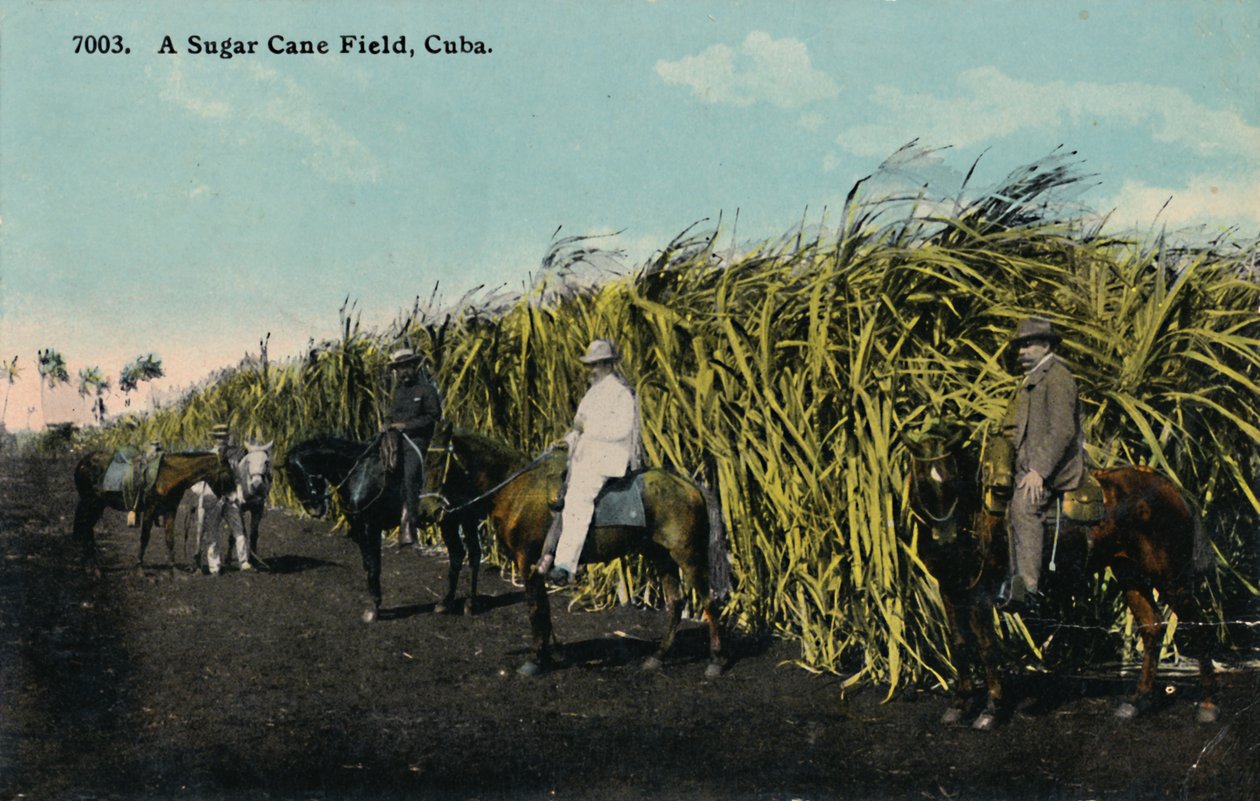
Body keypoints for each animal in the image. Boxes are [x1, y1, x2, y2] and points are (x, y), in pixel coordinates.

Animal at [74, 450, 238, 576]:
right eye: (227, 473)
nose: (235, 498)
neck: (167, 475)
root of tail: (83, 463)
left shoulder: (170, 510)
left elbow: (170, 538)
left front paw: (174, 570)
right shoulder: (150, 509)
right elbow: (145, 538)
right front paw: (140, 569)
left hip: (96, 506)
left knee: (87, 529)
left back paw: (90, 567)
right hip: (92, 504)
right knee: (86, 529)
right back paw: (94, 568)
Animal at [189, 440, 273, 571]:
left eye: (266, 462)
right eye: (248, 461)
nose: (257, 485)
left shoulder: (258, 508)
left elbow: (252, 534)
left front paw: (253, 561)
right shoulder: (239, 508)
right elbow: (236, 534)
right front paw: (229, 560)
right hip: (203, 505)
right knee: (200, 531)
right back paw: (197, 563)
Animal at [413, 423, 730, 680]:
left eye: (437, 461)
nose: (425, 512)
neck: (518, 490)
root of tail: (689, 485)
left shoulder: (527, 562)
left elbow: (535, 609)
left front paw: (535, 660)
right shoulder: (536, 566)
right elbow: (544, 609)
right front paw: (552, 653)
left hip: (689, 557)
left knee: (708, 602)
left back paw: (716, 661)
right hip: (662, 557)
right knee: (676, 603)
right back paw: (658, 657)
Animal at [907, 428, 1219, 730]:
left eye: (953, 481)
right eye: (923, 482)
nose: (945, 541)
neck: (973, 515)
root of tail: (1172, 489)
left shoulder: (980, 593)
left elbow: (986, 647)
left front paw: (991, 710)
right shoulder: (950, 589)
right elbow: (959, 643)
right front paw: (959, 706)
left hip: (1171, 579)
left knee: (1201, 626)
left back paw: (1207, 705)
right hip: (1130, 575)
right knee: (1151, 627)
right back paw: (1137, 701)